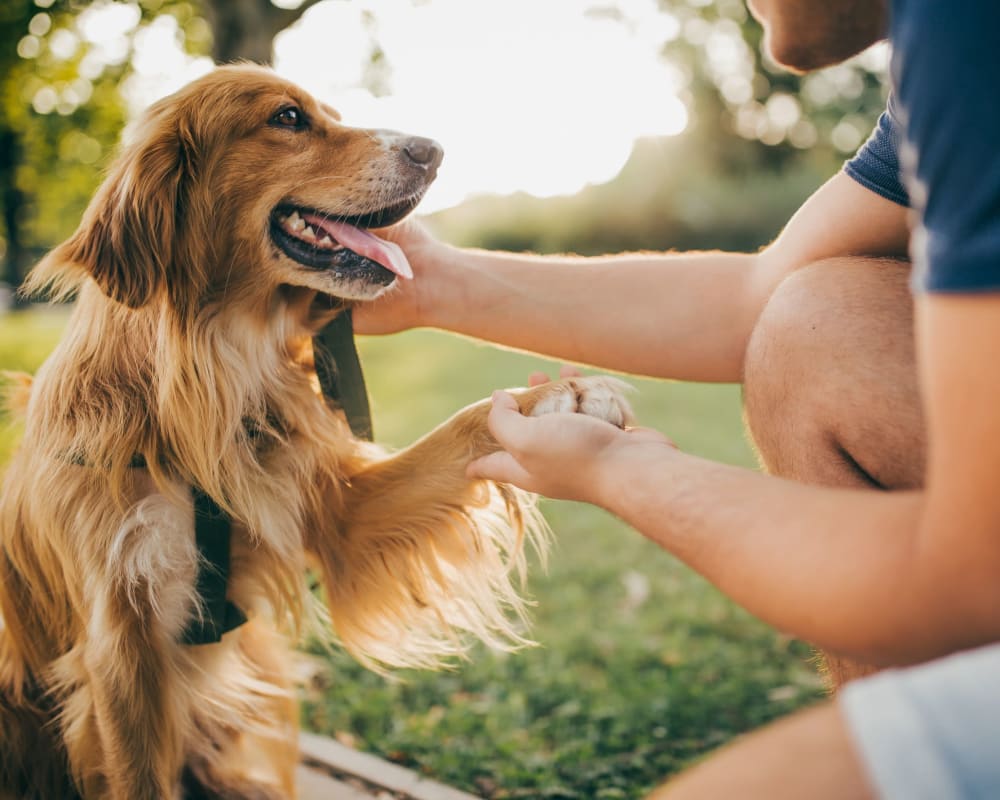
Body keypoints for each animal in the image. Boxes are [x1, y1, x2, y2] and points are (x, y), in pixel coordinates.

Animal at [0, 65, 628, 796]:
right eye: (289, 118)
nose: (435, 150)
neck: (206, 378)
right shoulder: (120, 649)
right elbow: (140, 777)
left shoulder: (335, 514)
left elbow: (464, 427)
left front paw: (562, 398)